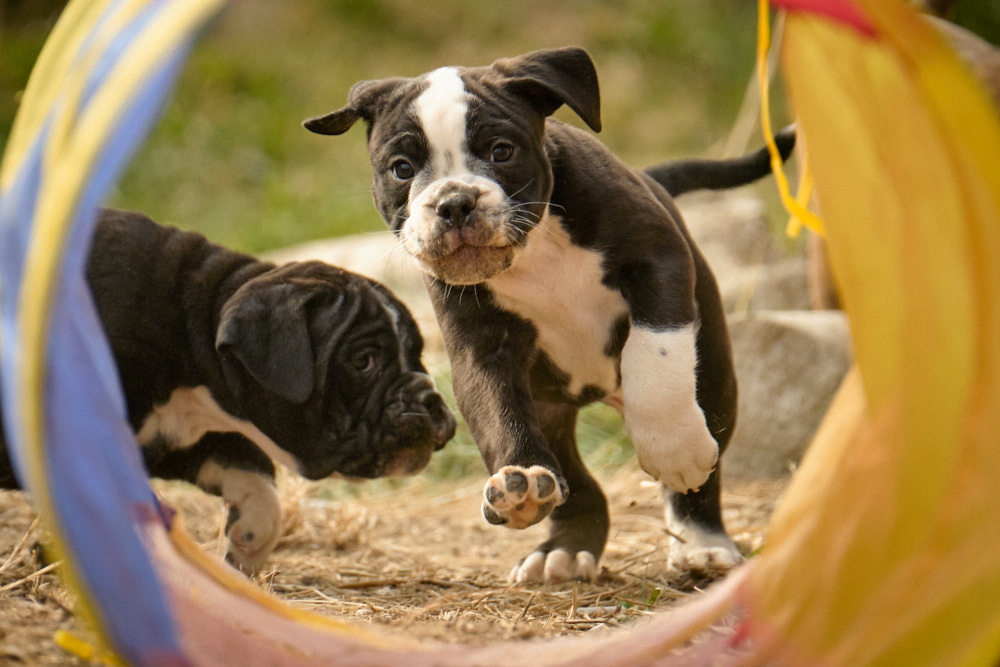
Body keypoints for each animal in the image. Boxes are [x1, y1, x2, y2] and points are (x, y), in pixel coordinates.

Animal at [0, 207, 454, 576]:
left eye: (418, 352)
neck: (189, 328)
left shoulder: (183, 439)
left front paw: (246, 546)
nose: (431, 402)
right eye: (363, 361)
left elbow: (261, 490)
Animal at [300, 47, 784, 580]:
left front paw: (673, 449)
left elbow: (654, 355)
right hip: (550, 413)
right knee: (576, 481)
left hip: (715, 374)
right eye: (402, 169)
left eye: (501, 152)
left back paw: (701, 541)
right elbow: (498, 413)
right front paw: (524, 478)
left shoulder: (659, 263)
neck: (534, 250)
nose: (454, 202)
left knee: (706, 450)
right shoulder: (482, 350)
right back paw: (563, 548)